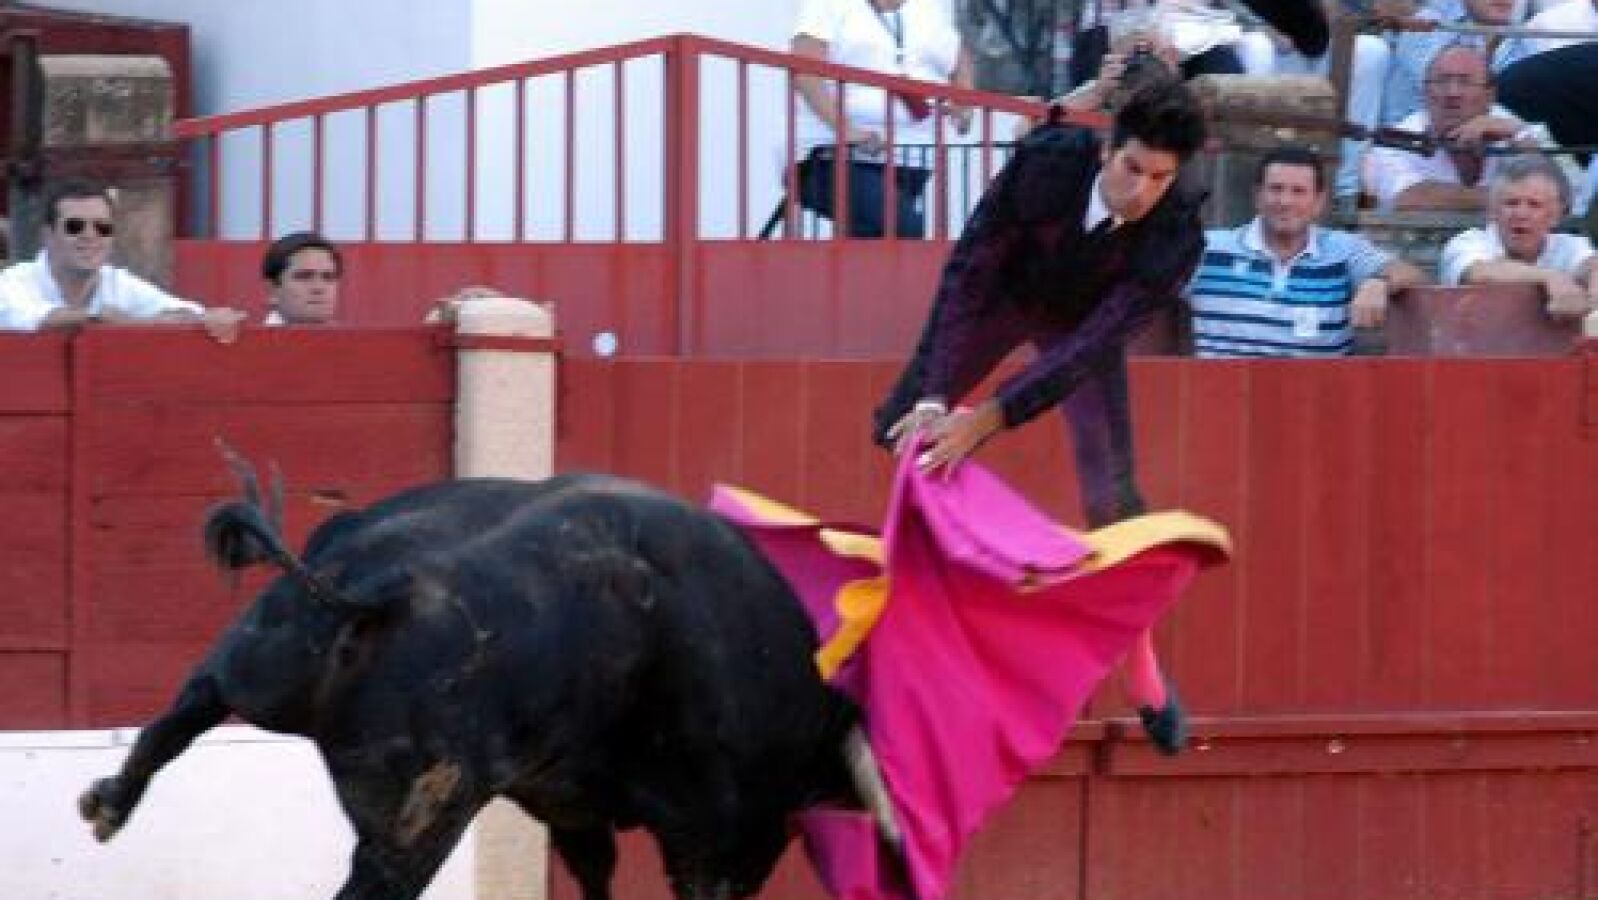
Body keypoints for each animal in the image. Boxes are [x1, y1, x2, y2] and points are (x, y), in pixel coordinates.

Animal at [78, 460, 867, 900]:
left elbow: (594, 868)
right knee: (371, 887)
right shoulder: (706, 830)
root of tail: (384, 587)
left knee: (176, 717)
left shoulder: (568, 796)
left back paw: (107, 805)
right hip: (423, 815)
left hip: (248, 659)